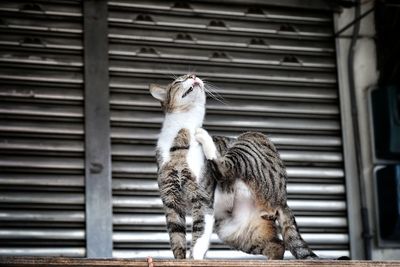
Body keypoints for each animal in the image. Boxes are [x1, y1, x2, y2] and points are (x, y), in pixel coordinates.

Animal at [148, 73, 318, 260]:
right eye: (179, 80)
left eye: (189, 76)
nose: (193, 75)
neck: (183, 134)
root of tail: (283, 199)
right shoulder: (170, 200)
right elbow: (176, 237)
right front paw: (180, 260)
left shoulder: (202, 197)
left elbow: (199, 234)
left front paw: (195, 259)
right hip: (236, 232)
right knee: (278, 245)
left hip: (249, 139)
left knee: (225, 169)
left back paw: (204, 136)